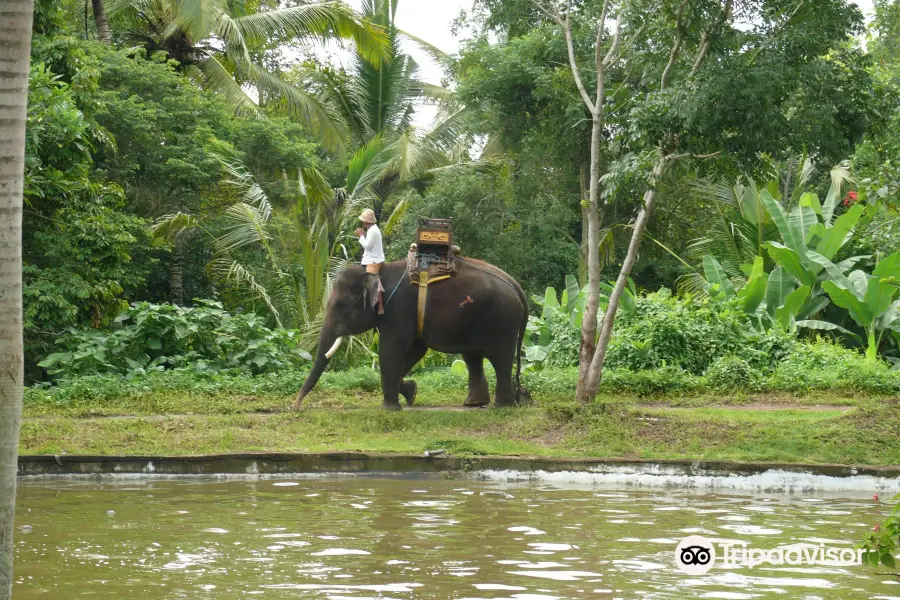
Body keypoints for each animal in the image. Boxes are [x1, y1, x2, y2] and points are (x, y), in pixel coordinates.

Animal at [298, 255, 532, 410]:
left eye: (341, 305)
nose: (297, 406)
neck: (376, 272)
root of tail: (517, 287)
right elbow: (415, 351)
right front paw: (411, 393)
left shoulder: (398, 309)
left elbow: (390, 350)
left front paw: (390, 409)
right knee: (473, 356)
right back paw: (475, 403)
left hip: (503, 320)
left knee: (500, 358)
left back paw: (502, 407)